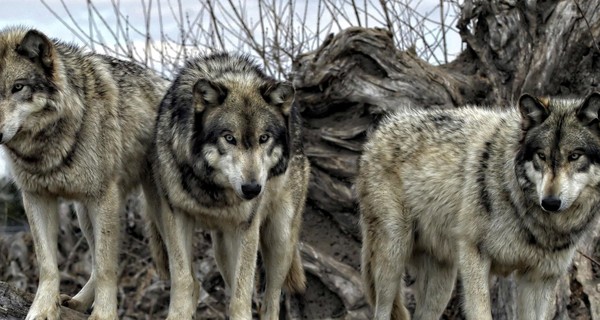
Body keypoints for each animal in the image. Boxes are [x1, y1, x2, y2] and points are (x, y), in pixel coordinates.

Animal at [0, 26, 169, 318]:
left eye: (18, 87)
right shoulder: (35, 197)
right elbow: (48, 264)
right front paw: (43, 309)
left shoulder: (103, 198)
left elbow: (105, 267)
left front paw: (104, 314)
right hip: (84, 213)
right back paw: (77, 302)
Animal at [148, 53, 310, 320]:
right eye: (229, 138)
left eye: (264, 138)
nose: (252, 189)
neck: (211, 189)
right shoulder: (176, 216)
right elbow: (182, 280)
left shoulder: (247, 227)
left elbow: (241, 297)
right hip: (220, 248)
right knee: (208, 283)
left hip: (279, 239)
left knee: (271, 299)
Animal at [356, 91, 600, 318]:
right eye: (541, 155)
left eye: (575, 156)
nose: (550, 202)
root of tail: (379, 132)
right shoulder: (474, 254)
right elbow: (481, 311)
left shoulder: (540, 278)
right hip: (393, 258)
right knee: (381, 310)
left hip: (442, 282)